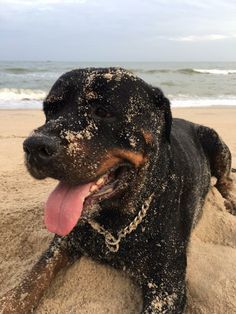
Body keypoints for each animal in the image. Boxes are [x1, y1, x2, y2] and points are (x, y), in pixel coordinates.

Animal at [0, 67, 235, 312]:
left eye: (102, 111)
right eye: (50, 110)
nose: (34, 146)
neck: (114, 222)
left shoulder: (166, 288)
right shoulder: (64, 239)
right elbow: (35, 275)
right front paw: (9, 302)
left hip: (214, 140)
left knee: (225, 179)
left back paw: (229, 201)